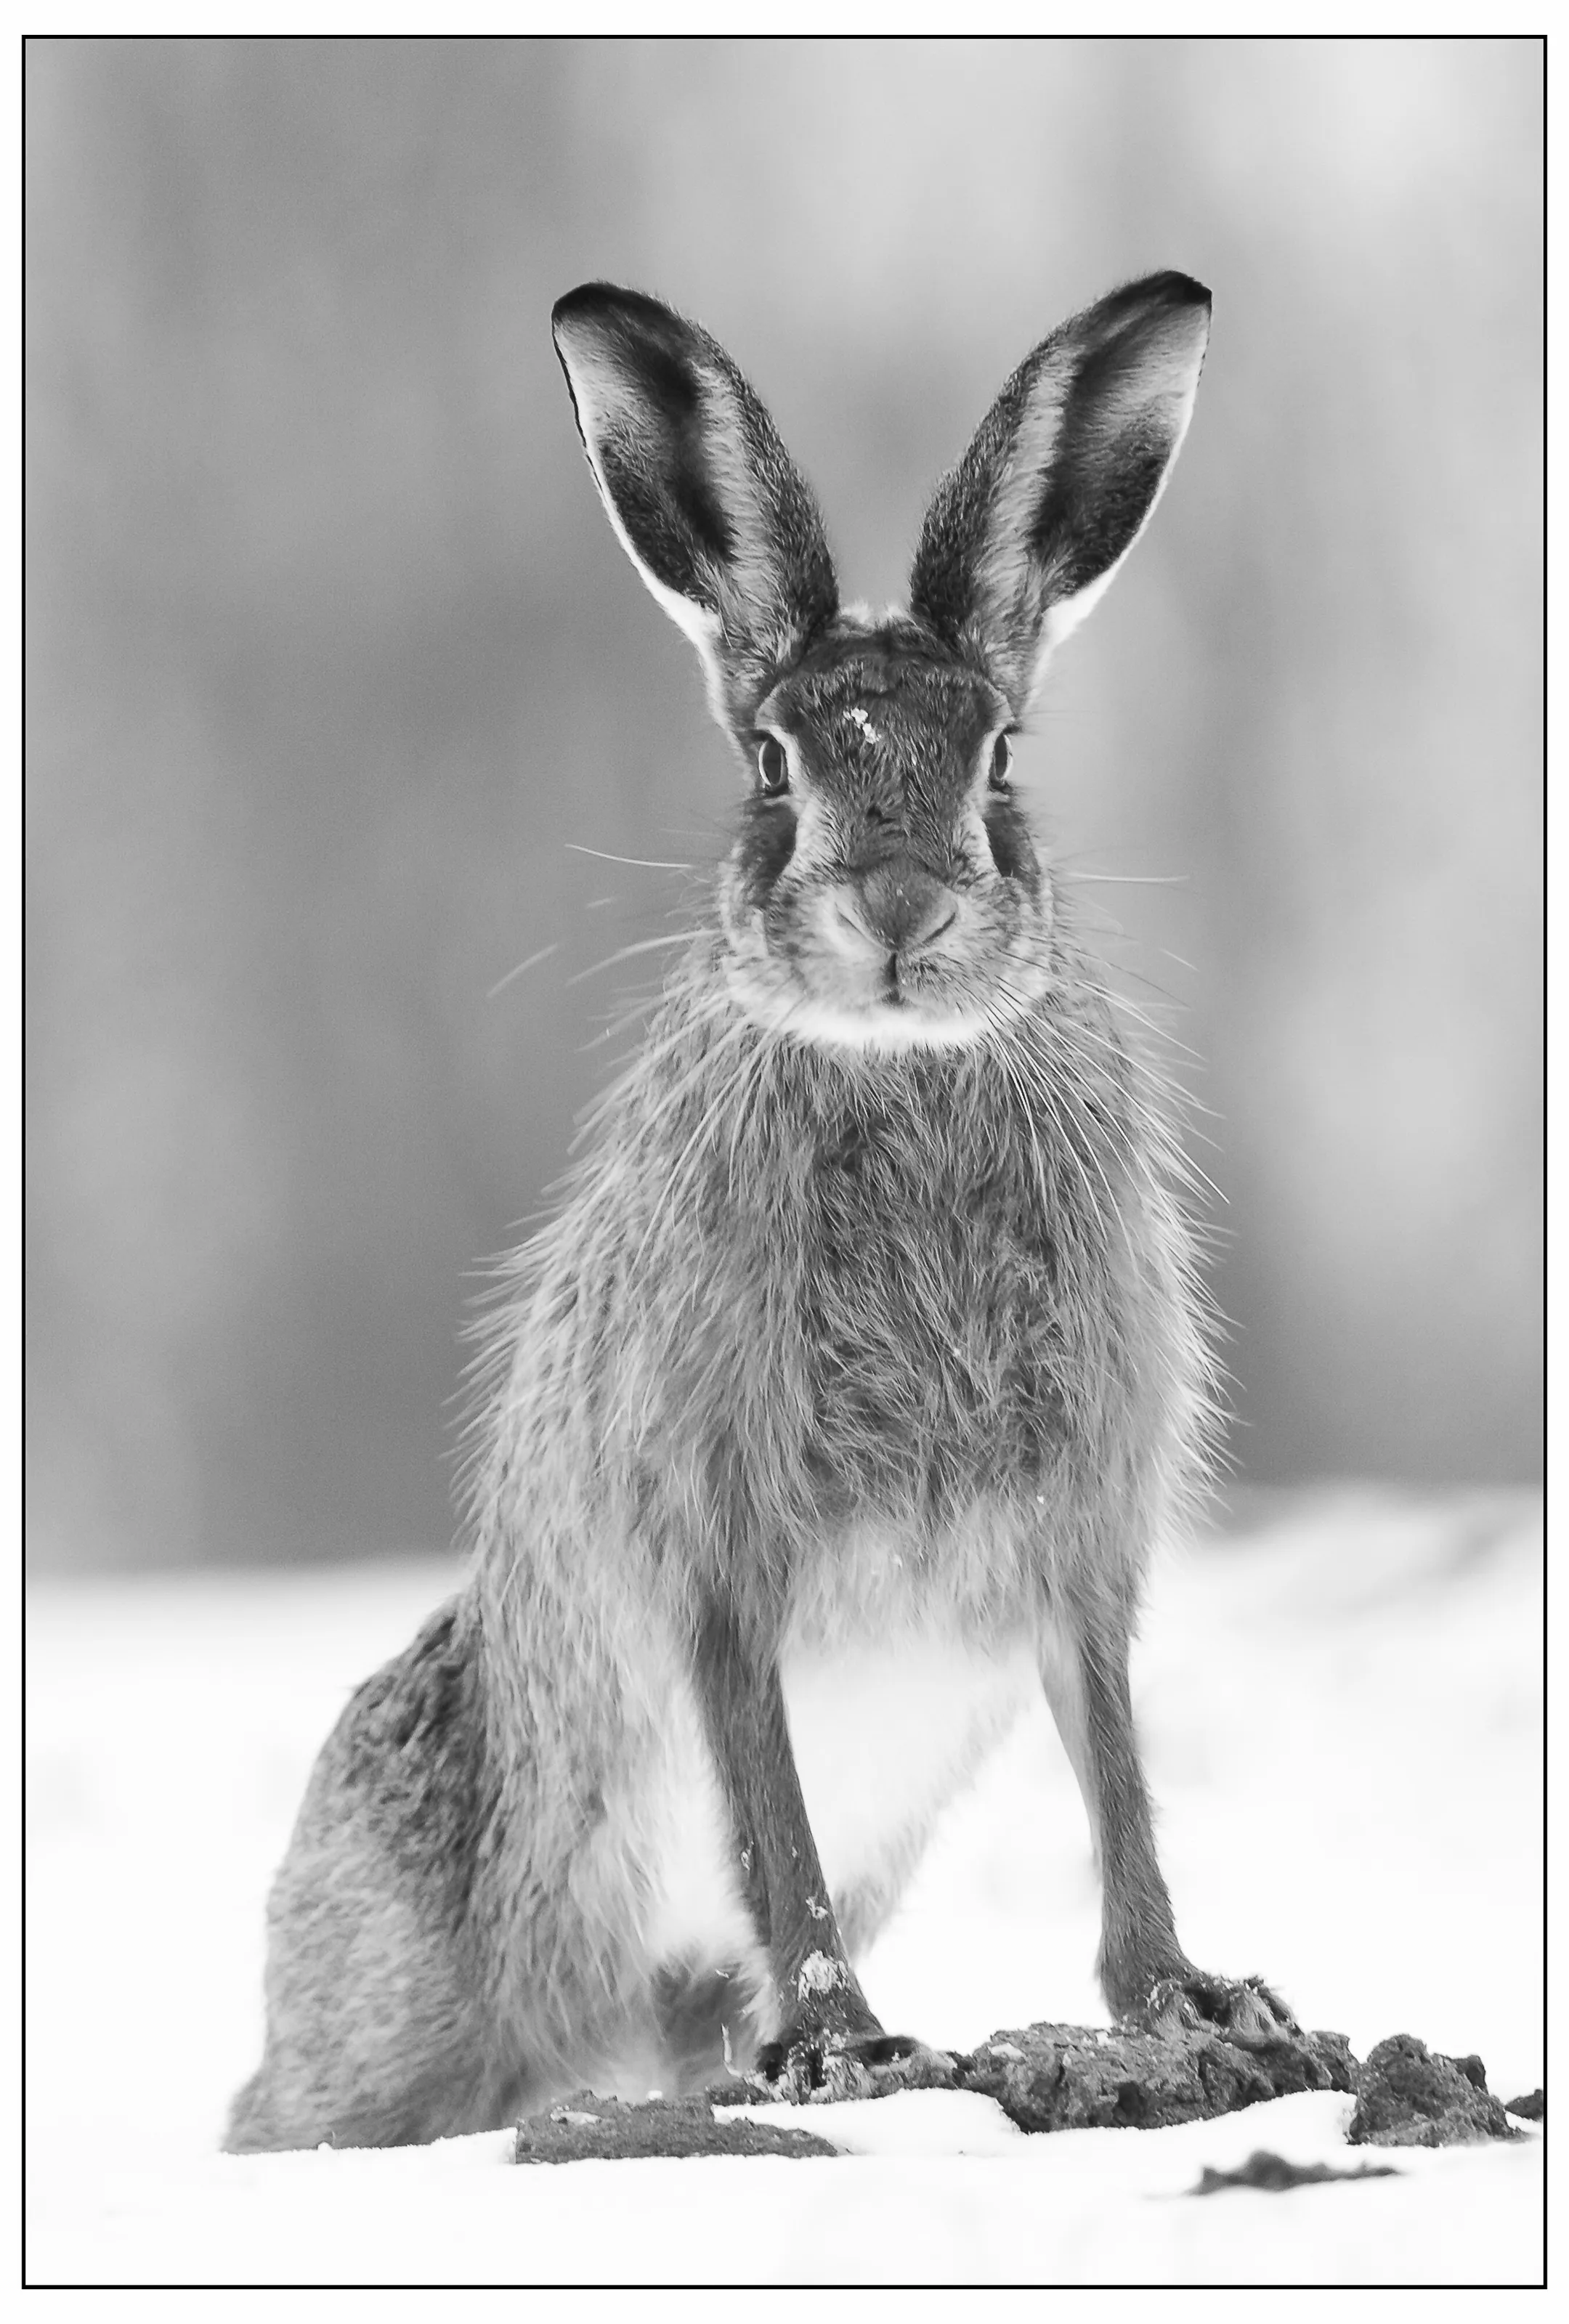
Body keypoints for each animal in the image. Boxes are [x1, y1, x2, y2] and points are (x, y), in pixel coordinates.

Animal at [224, 270, 1294, 2154]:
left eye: (997, 757)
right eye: (773, 765)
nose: (898, 906)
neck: (904, 1065)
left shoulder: (1077, 1539)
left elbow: (1116, 1769)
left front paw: (1189, 2000)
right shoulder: (719, 1544)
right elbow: (766, 1802)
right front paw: (854, 2048)